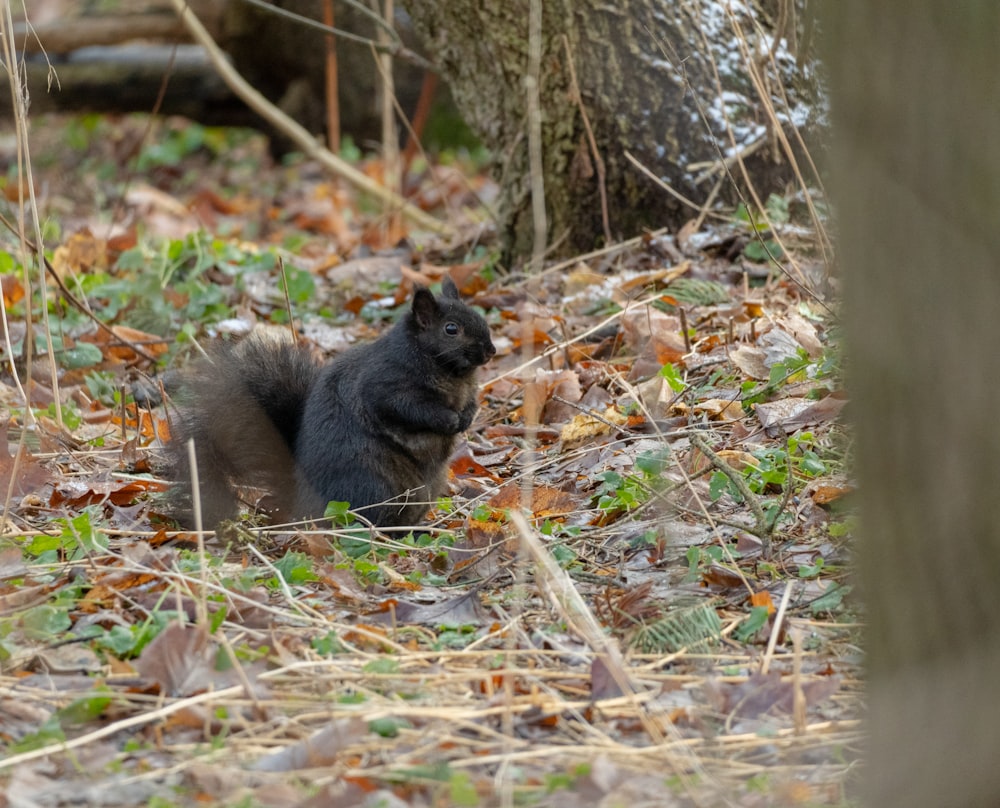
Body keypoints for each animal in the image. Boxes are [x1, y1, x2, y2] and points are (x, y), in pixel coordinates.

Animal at [166, 280, 498, 532]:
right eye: (451, 329)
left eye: (480, 319)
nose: (490, 351)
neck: (452, 374)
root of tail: (302, 499)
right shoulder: (384, 385)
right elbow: (408, 409)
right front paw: (448, 420)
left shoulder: (467, 389)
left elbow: (471, 402)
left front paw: (467, 416)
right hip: (371, 485)